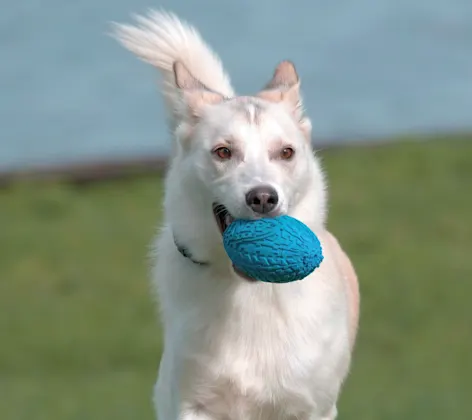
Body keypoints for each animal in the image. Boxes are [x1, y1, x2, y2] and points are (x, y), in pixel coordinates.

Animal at [113, 10, 358, 420]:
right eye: (223, 152)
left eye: (286, 152)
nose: (263, 198)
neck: (249, 293)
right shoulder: (194, 404)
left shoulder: (310, 407)